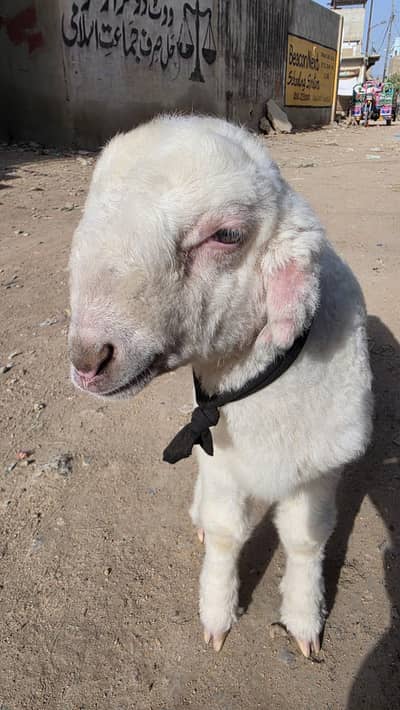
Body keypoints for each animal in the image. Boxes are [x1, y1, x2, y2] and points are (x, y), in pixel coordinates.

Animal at [68, 115, 373, 657]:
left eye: (227, 235)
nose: (87, 358)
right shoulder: (224, 467)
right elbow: (228, 533)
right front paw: (217, 612)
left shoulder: (320, 469)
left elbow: (306, 539)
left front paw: (304, 618)